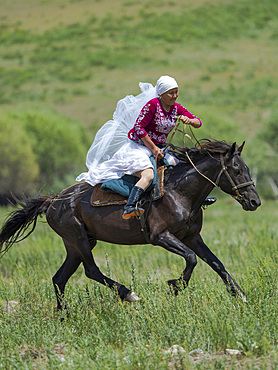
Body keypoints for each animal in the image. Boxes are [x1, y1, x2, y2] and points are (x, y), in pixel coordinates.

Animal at [0, 139, 260, 312]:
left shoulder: (192, 237)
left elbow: (216, 263)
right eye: (237, 170)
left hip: (76, 244)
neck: (180, 193)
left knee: (59, 278)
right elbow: (192, 259)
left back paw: (64, 317)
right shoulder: (160, 236)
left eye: (247, 169)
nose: (255, 202)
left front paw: (241, 295)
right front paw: (174, 286)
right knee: (91, 270)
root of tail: (53, 200)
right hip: (79, 239)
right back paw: (129, 294)